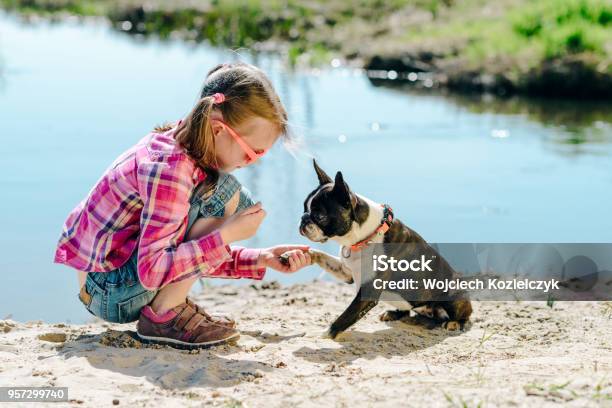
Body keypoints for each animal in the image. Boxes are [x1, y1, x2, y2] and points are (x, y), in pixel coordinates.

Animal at [298, 159, 470, 338]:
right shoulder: (346, 272)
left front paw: (322, 334)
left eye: (320, 217)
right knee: (407, 310)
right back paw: (394, 314)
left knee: (464, 315)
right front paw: (302, 254)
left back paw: (454, 323)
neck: (365, 238)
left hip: (453, 294)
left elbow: (343, 318)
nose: (303, 220)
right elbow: (322, 255)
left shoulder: (367, 292)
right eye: (304, 208)